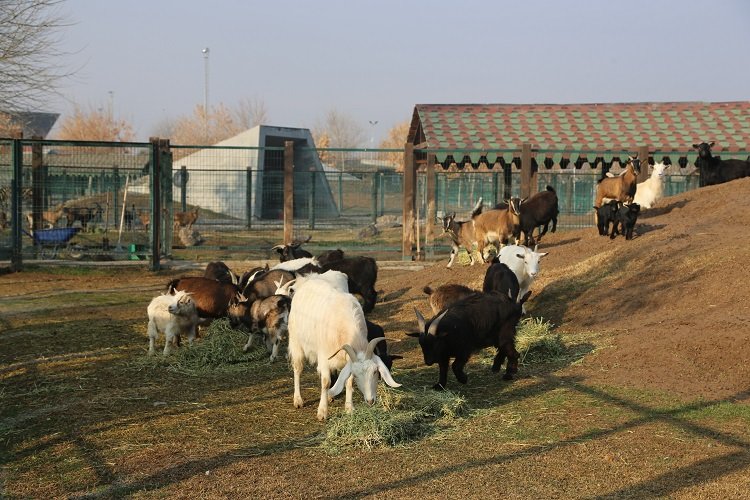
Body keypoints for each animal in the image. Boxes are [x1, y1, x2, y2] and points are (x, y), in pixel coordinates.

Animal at [290, 280, 406, 420]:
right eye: (357, 375)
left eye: (375, 372)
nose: (370, 401)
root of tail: (306, 281)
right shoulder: (324, 357)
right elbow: (325, 382)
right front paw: (322, 412)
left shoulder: (347, 360)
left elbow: (348, 382)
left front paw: (349, 408)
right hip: (296, 342)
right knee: (297, 369)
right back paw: (298, 400)